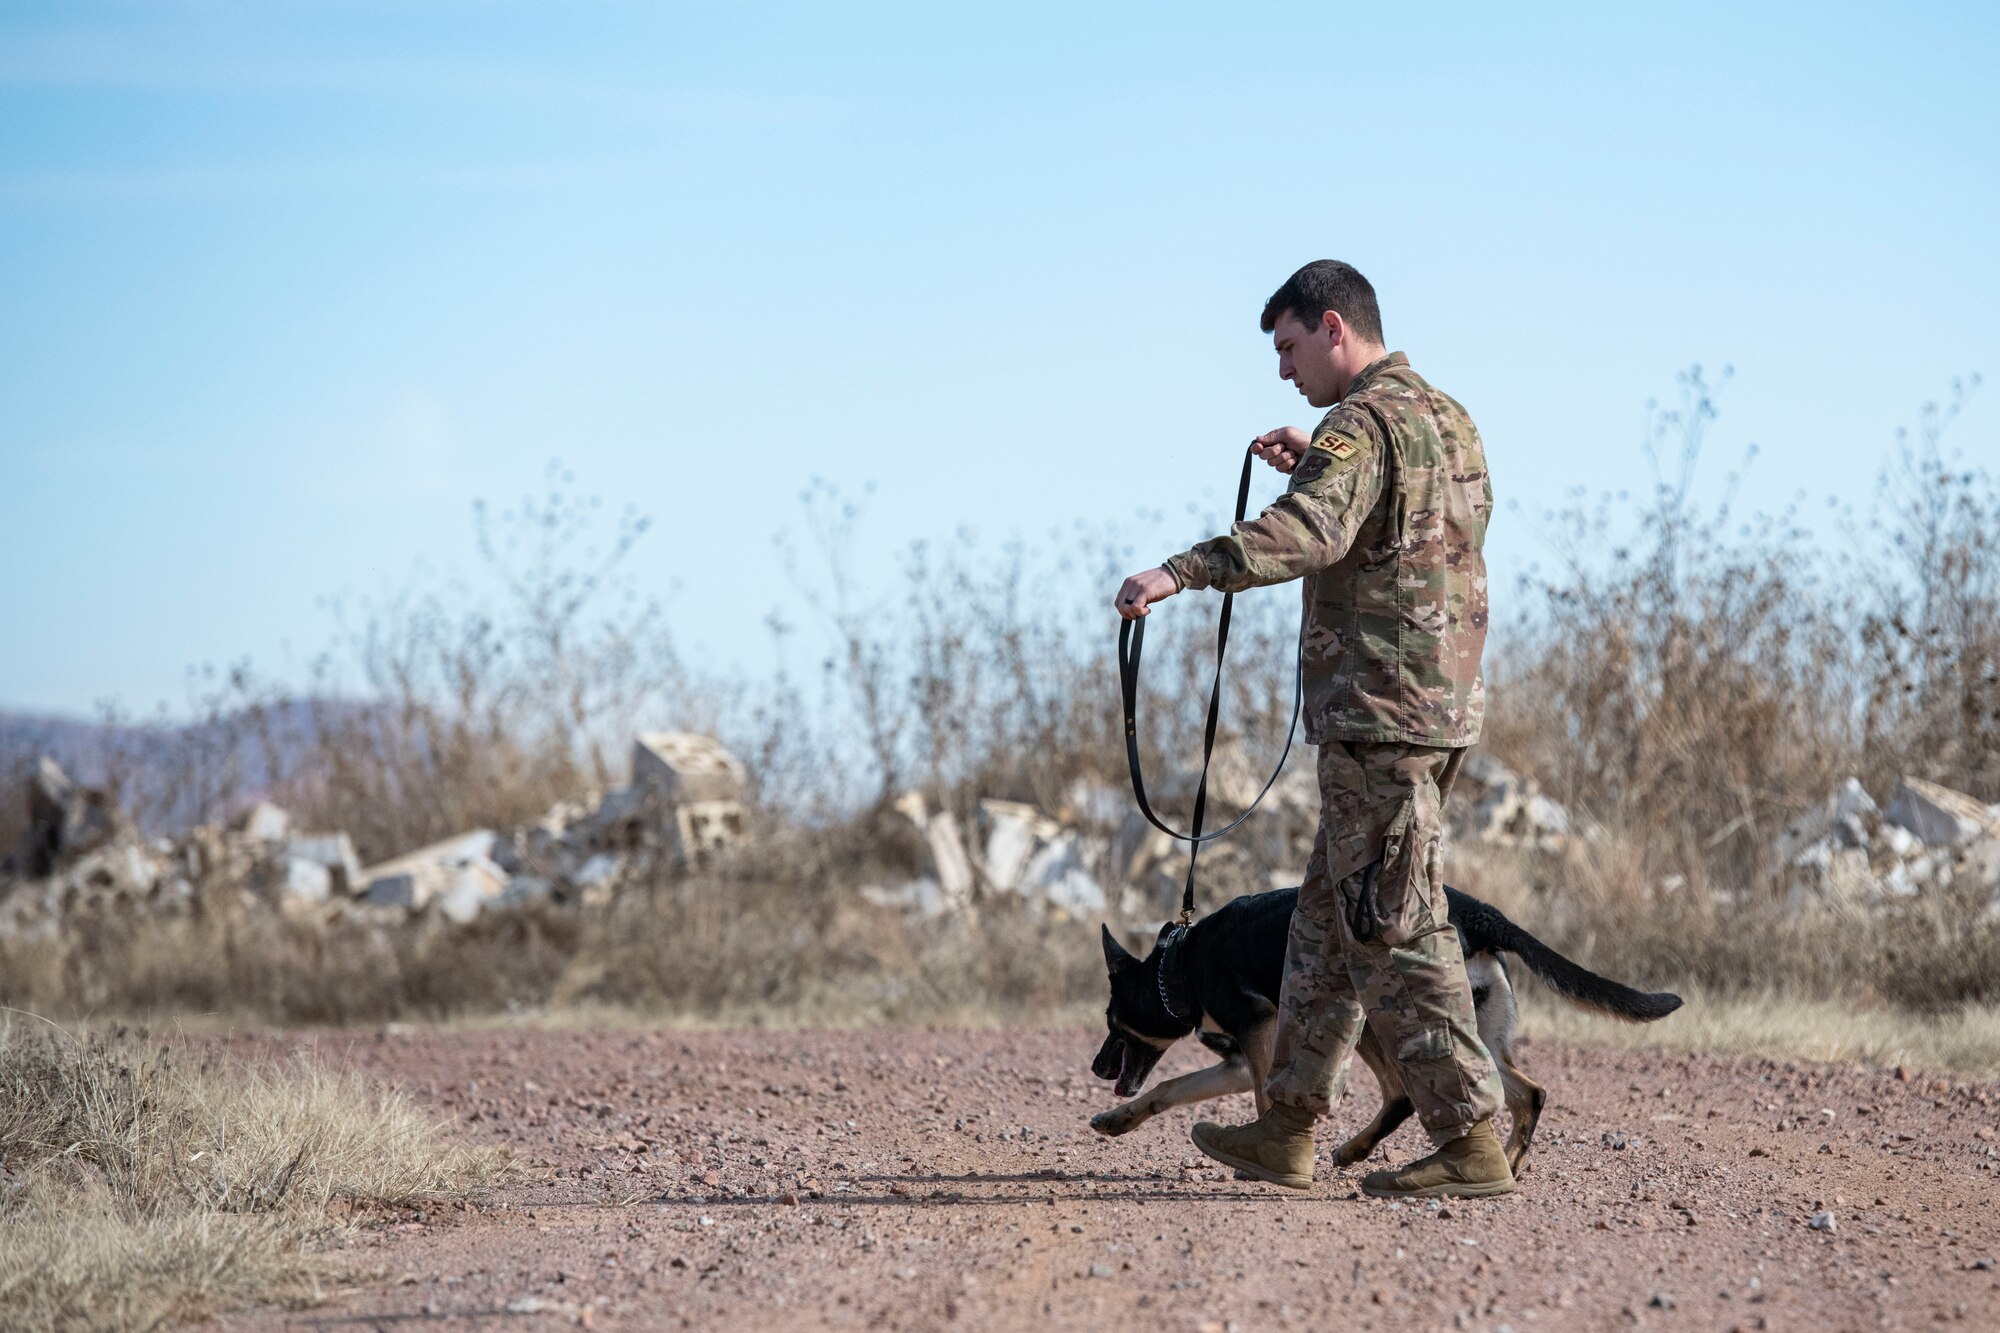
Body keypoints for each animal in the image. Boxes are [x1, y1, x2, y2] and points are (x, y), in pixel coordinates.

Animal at [1088, 888, 1680, 1168]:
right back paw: (1504, 1164)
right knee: (1528, 1093)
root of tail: (1482, 914)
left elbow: (1262, 1098)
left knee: (1402, 1095)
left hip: (1376, 1016)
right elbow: (1168, 1087)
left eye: (1112, 1021)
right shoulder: (1236, 1059)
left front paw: (1265, 1154)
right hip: (1468, 1033)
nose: (1095, 1067)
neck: (1181, 964)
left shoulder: (1257, 1034)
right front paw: (1118, 1120)